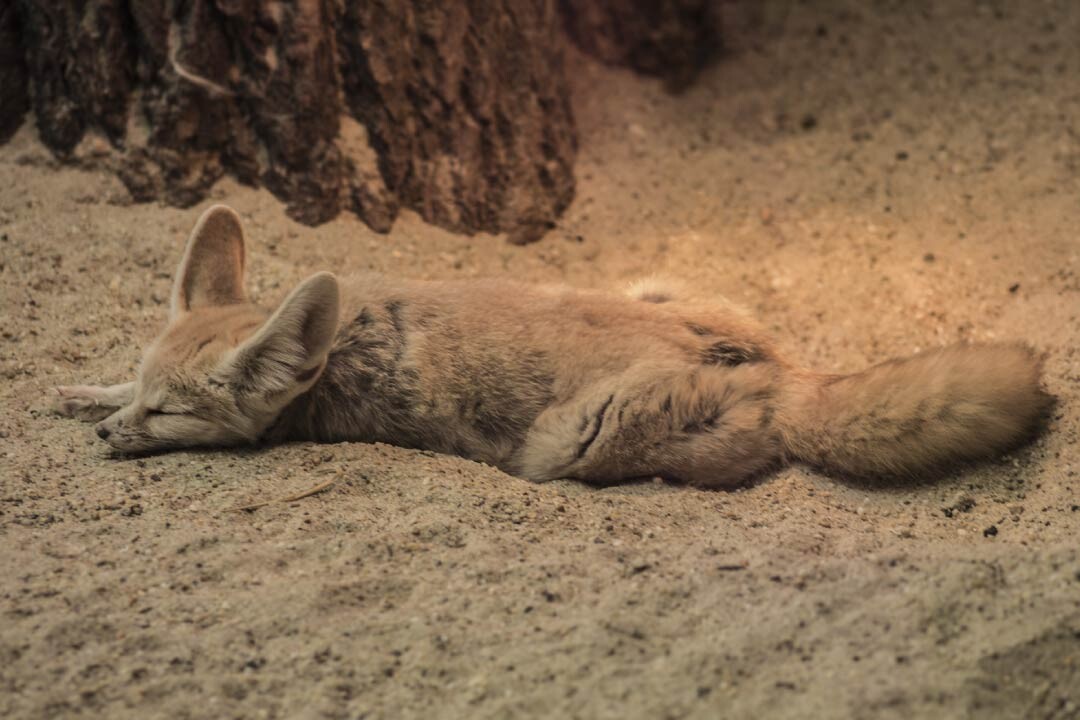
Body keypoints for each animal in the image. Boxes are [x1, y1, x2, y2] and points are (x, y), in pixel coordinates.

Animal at [53, 205, 1051, 487]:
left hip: (567, 444)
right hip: (661, 280)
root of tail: (792, 373)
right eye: (146, 391)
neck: (337, 348)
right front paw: (84, 394)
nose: (106, 441)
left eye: (172, 415)